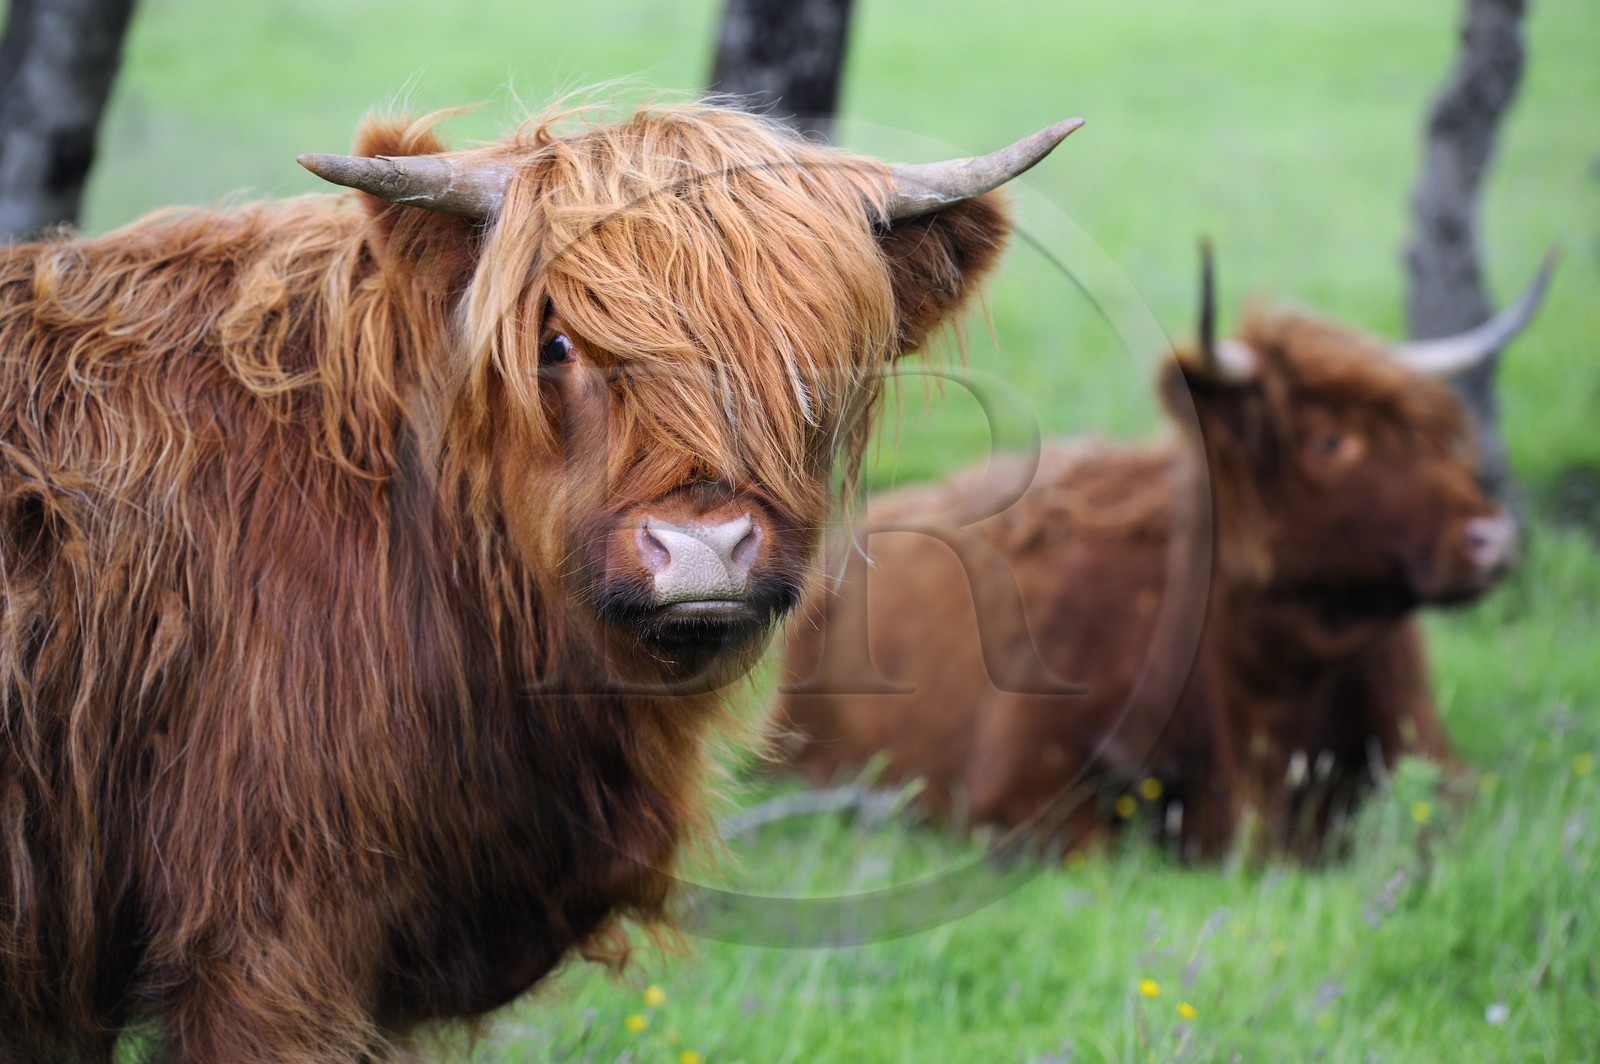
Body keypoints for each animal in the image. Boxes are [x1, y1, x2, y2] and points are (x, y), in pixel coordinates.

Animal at [776, 246, 1550, 862]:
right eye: (1330, 441)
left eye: (1434, 433)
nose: (1494, 538)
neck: (1268, 682)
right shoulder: (1017, 796)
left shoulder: (1434, 758)